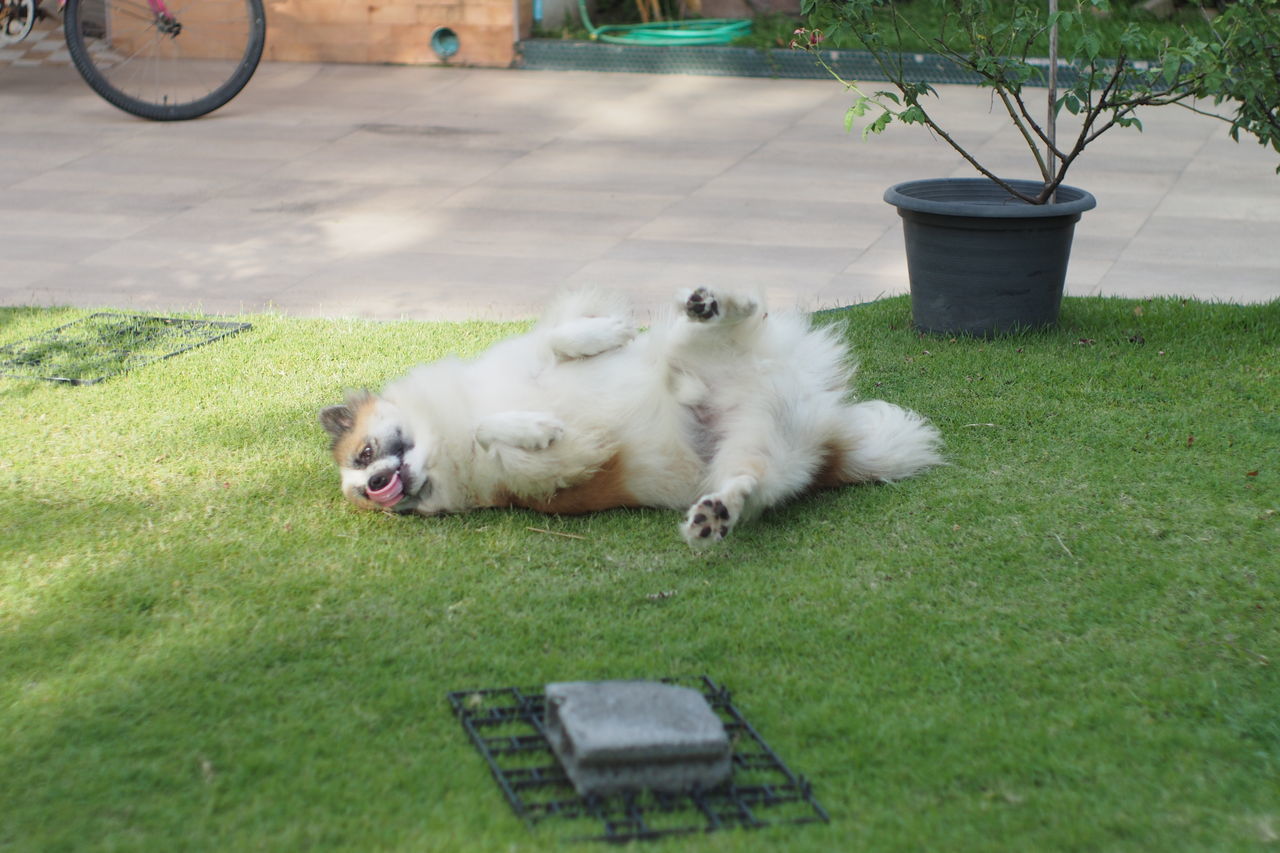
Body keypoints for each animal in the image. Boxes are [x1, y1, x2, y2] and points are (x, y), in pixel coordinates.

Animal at [320, 289, 942, 548]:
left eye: (366, 455)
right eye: (367, 488)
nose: (380, 484)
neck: (445, 439)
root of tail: (821, 431)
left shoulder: (529, 354)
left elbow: (560, 338)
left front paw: (605, 334)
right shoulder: (553, 473)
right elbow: (506, 433)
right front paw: (536, 428)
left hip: (695, 351)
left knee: (733, 318)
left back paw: (713, 303)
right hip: (755, 452)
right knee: (746, 484)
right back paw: (713, 517)